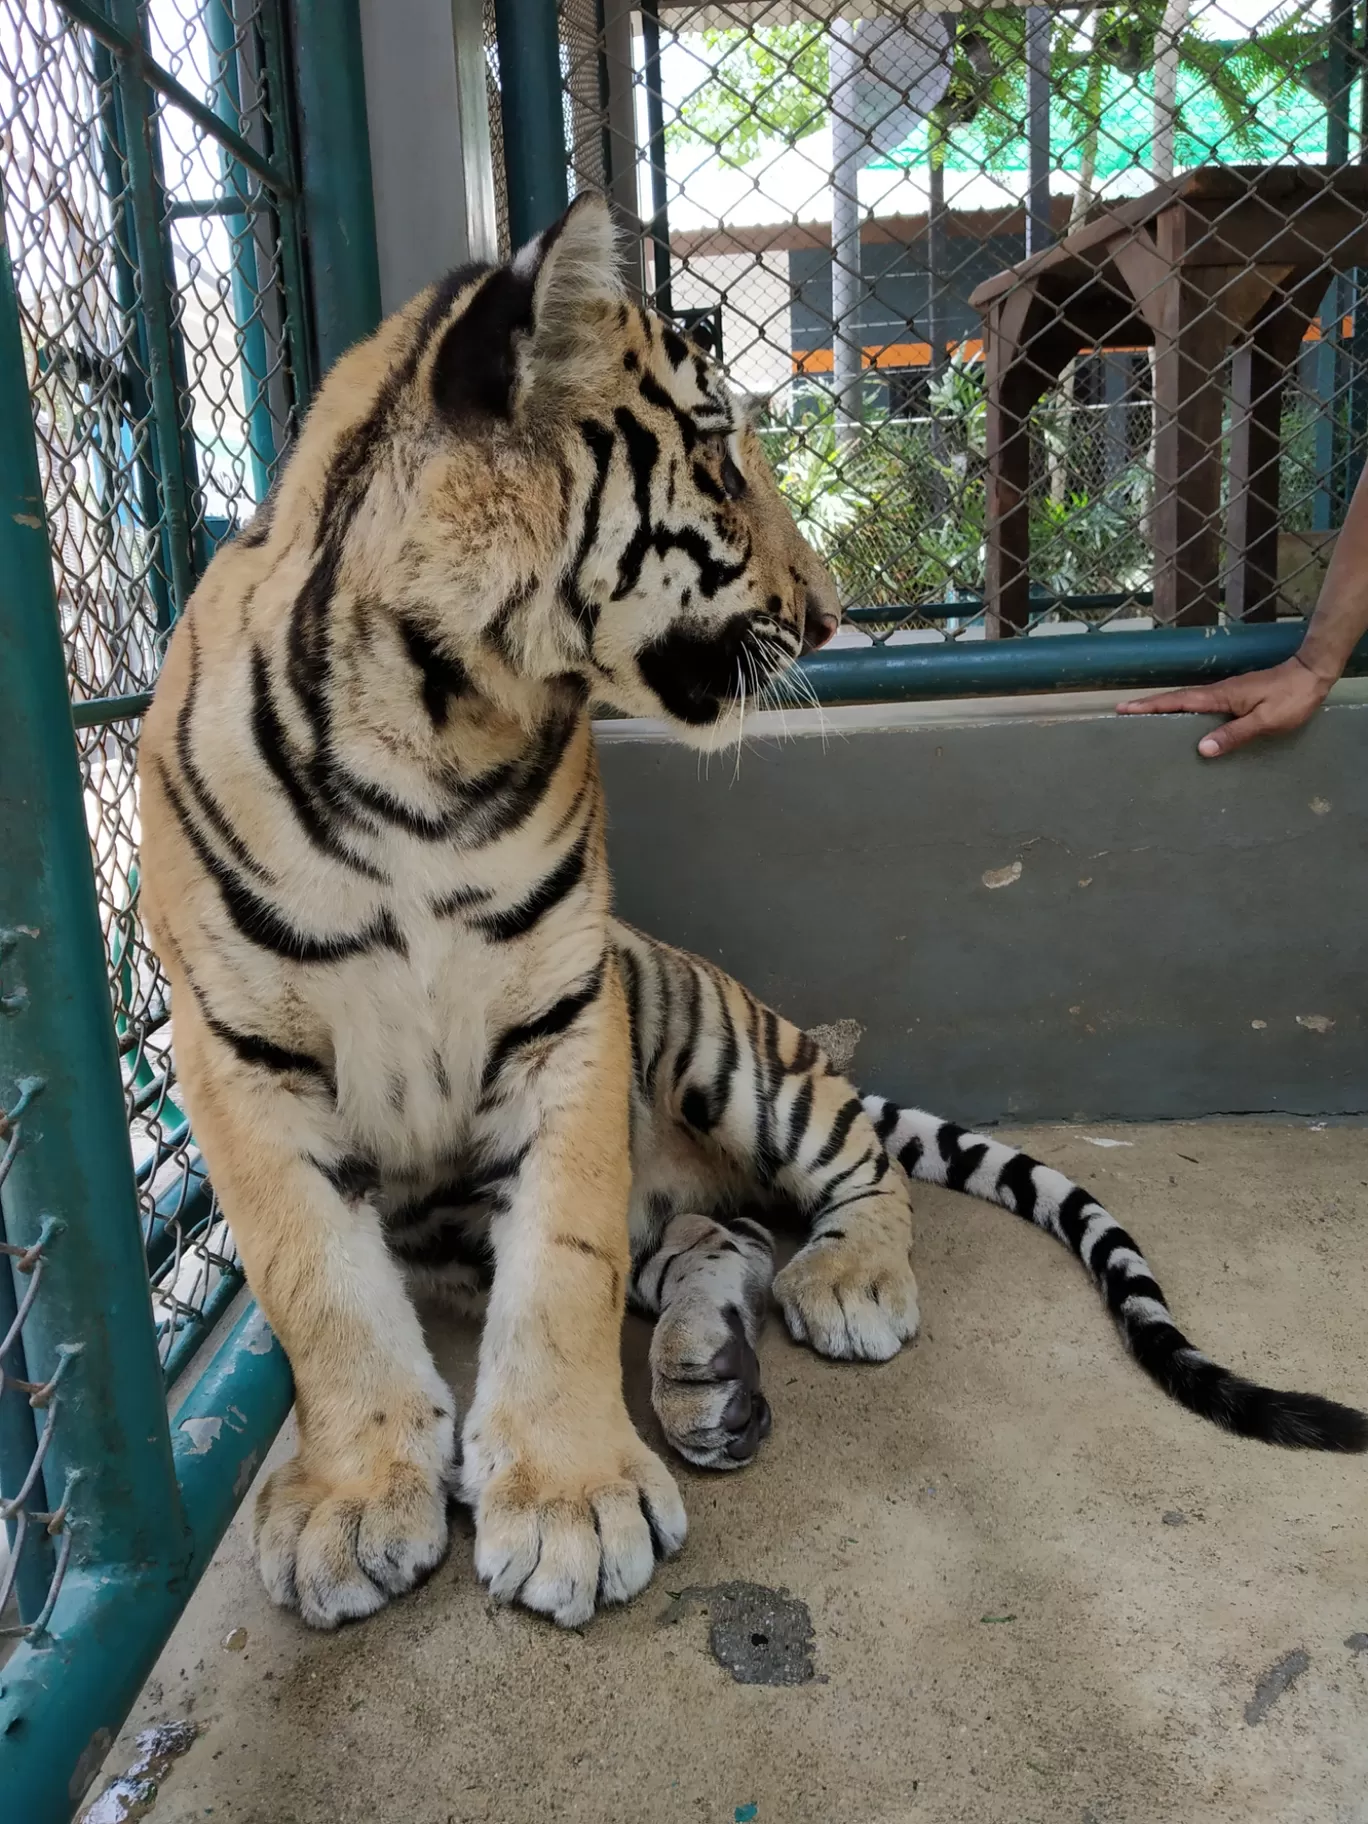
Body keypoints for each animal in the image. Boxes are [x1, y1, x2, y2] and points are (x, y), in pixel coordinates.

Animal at [142, 196, 1368, 1641]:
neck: (431, 728)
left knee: (863, 1166)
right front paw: (352, 1504)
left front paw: (568, 1502)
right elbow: (317, 1282)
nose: (831, 614)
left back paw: (841, 1290)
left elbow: (557, 1272)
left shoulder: (568, 1015)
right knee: (715, 1228)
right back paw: (710, 1348)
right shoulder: (238, 1049)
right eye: (722, 459)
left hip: (724, 1048)